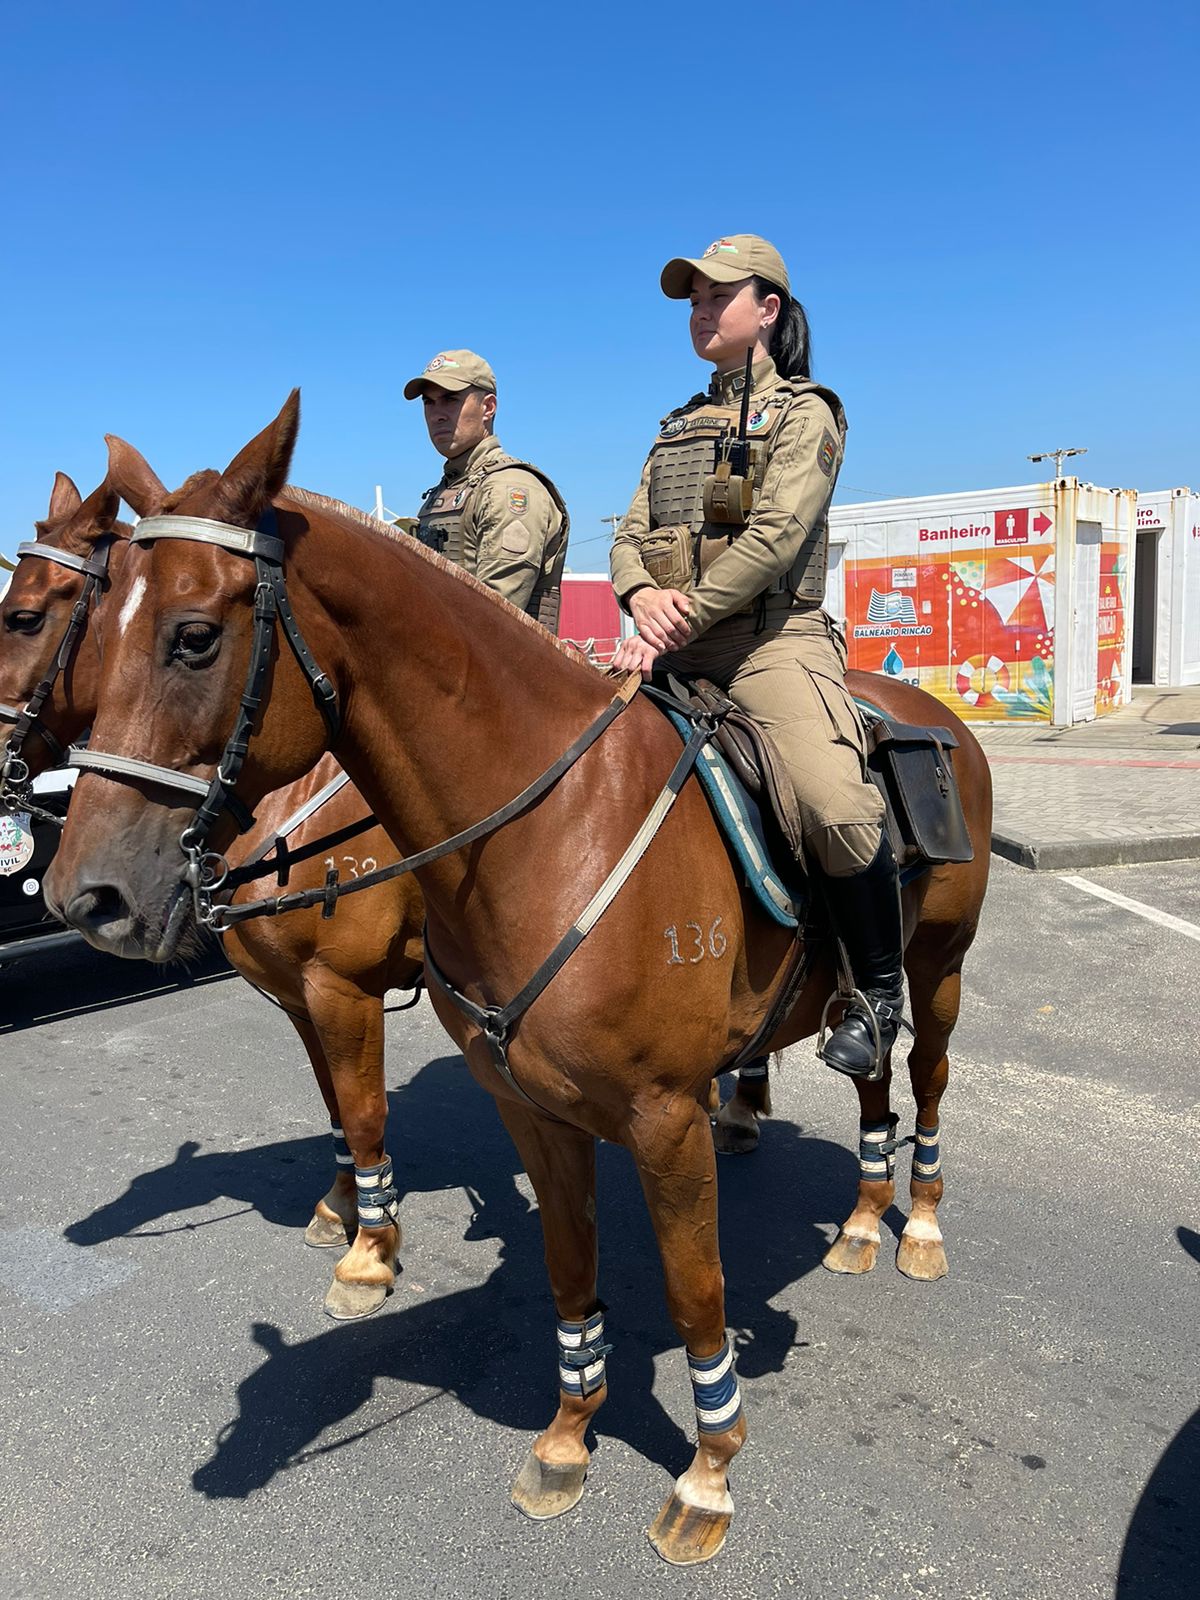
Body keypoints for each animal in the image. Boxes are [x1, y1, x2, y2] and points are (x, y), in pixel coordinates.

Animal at [47, 396, 992, 1561]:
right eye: (98, 633)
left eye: (191, 636)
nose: (84, 894)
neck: (549, 828)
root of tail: (931, 714)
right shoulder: (528, 1105)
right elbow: (567, 1268)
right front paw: (569, 1436)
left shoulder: (661, 1117)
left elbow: (693, 1293)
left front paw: (708, 1470)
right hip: (850, 996)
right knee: (872, 1078)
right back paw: (861, 1219)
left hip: (938, 973)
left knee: (928, 1084)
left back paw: (919, 1223)